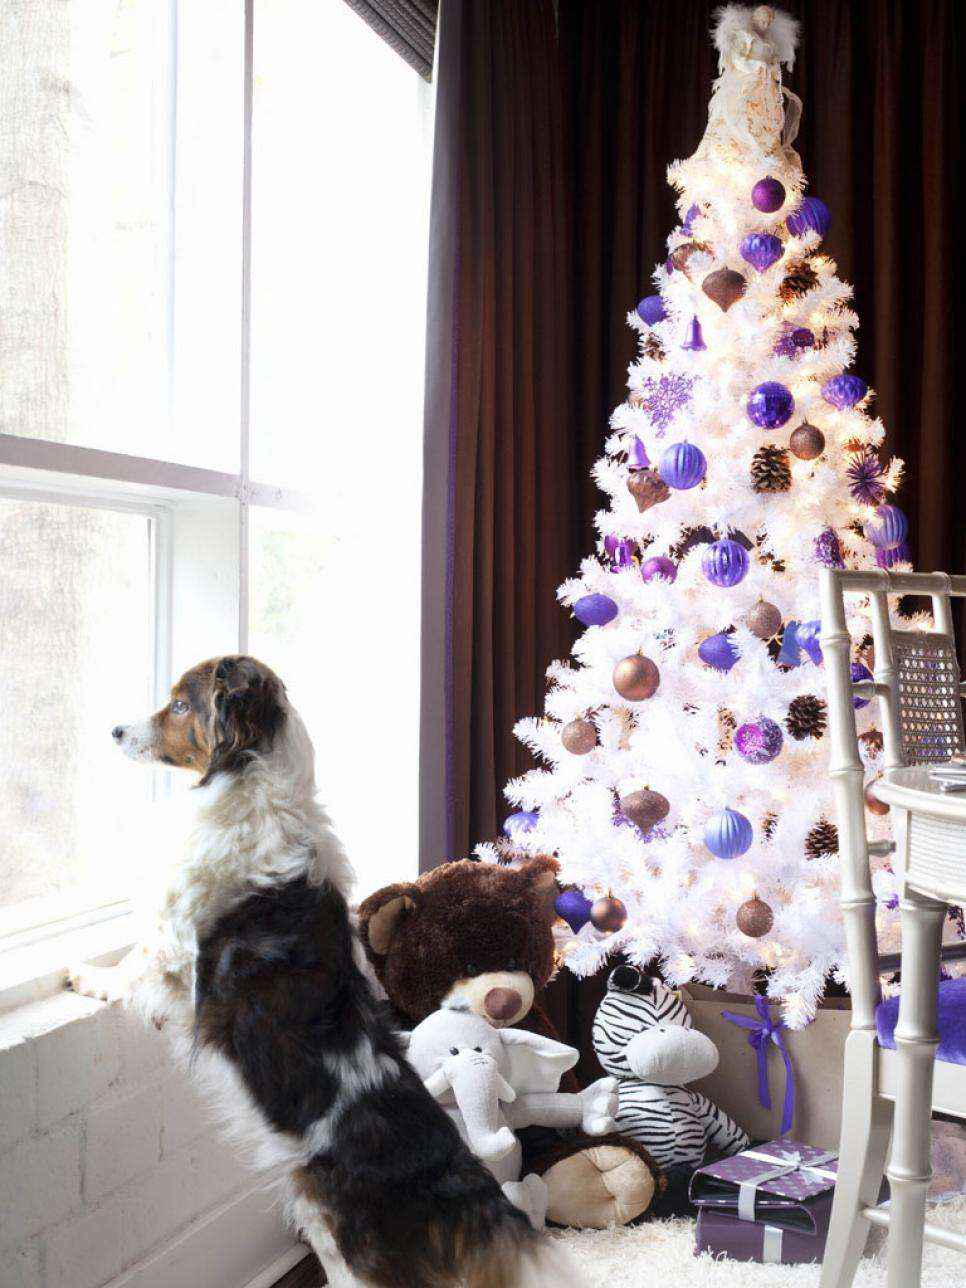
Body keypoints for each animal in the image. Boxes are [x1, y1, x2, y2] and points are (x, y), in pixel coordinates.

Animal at [71, 659, 582, 1282]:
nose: (116, 732)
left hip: (339, 1234)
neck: (257, 784)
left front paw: (81, 976)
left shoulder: (170, 943)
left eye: (181, 705)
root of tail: (456, 1175)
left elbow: (128, 967)